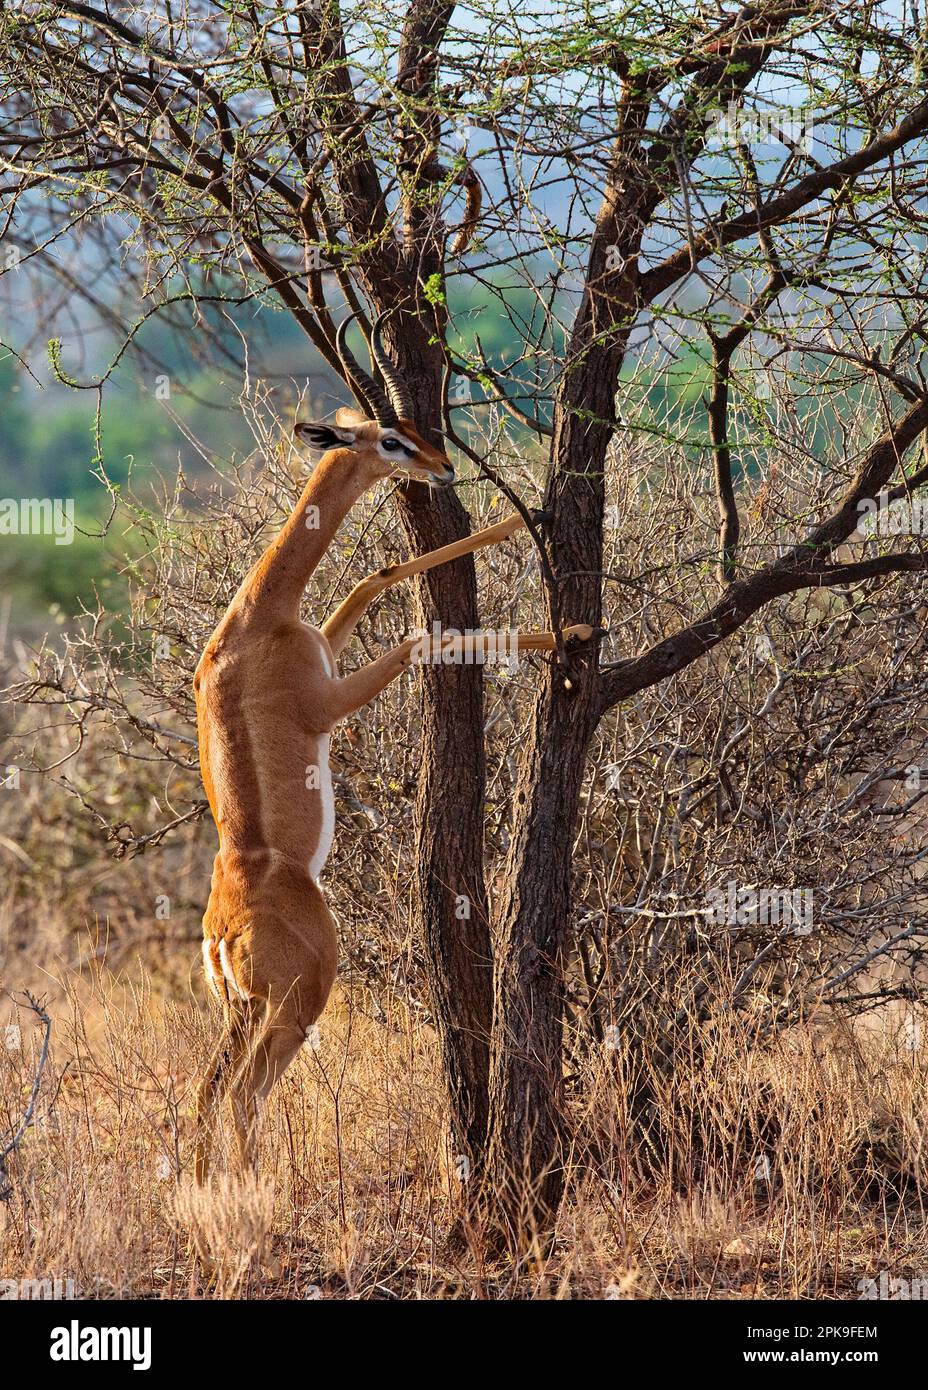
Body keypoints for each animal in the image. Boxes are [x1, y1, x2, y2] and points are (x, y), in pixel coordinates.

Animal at [191, 318, 591, 1184]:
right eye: (390, 440)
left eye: (413, 428)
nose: (443, 466)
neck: (256, 619)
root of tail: (221, 930)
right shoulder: (329, 704)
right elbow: (416, 639)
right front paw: (570, 632)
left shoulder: (330, 643)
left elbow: (378, 573)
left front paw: (518, 517)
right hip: (300, 998)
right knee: (245, 1092)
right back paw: (261, 1195)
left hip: (240, 1010)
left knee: (206, 1093)